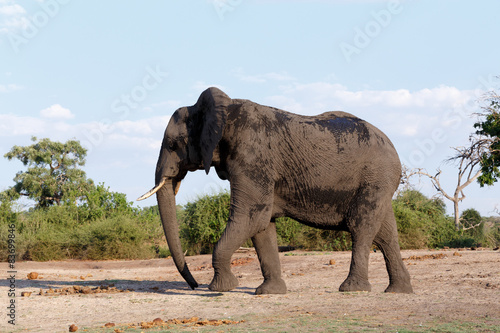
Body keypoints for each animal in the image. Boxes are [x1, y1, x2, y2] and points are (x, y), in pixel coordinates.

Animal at [138, 87, 414, 294]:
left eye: (172, 144)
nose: (195, 286)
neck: (224, 110)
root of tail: (393, 146)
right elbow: (262, 225)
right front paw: (269, 292)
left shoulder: (253, 156)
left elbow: (251, 216)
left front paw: (221, 288)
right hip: (379, 181)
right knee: (386, 233)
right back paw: (398, 291)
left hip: (375, 177)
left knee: (362, 227)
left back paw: (352, 289)